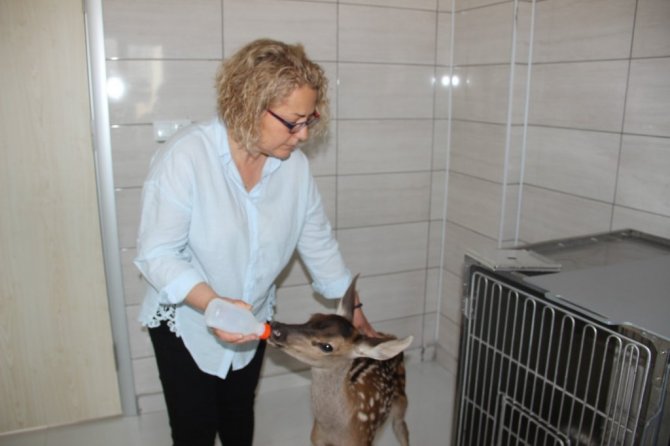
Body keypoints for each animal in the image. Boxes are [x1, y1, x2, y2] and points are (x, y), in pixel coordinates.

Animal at [268, 275, 413, 446]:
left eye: (327, 346)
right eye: (313, 316)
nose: (276, 328)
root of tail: (388, 336)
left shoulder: (363, 440)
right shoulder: (315, 439)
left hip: (401, 397)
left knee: (401, 427)